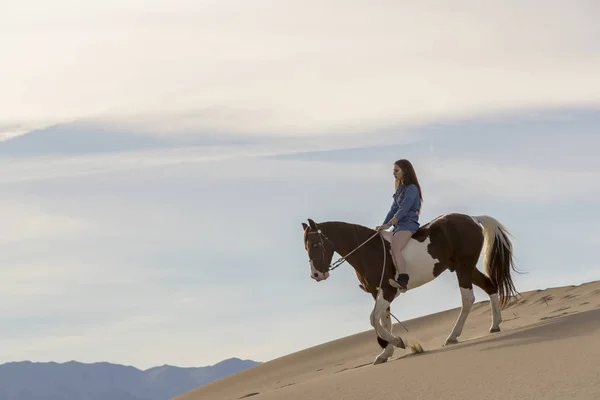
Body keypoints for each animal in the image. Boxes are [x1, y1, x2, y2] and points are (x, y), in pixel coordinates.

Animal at [302, 212, 516, 366]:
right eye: (306, 247)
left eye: (315, 244)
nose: (316, 275)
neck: (368, 251)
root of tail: (473, 218)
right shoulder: (377, 293)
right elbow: (384, 320)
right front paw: (386, 352)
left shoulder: (387, 291)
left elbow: (374, 319)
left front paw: (396, 342)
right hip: (465, 268)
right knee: (490, 286)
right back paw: (495, 325)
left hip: (464, 268)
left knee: (467, 299)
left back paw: (453, 336)